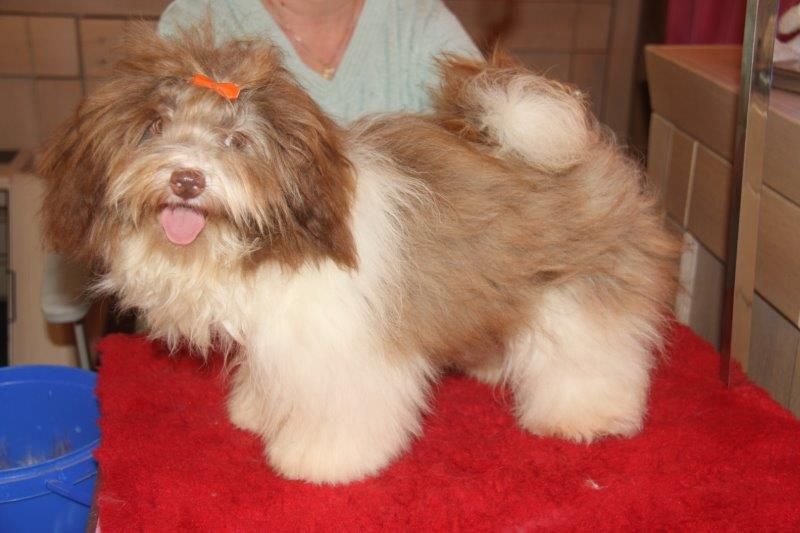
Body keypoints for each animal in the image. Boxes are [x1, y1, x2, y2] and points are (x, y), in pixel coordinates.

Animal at [39, 24, 678, 484]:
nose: (187, 179)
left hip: (581, 288)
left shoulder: (343, 348)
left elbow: (342, 409)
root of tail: (576, 147)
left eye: (237, 141)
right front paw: (257, 411)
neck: (276, 240)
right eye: (155, 128)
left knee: (592, 351)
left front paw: (319, 459)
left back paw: (585, 415)